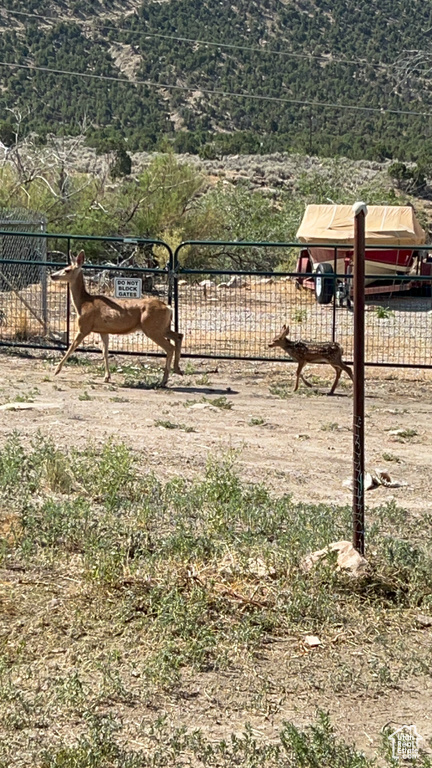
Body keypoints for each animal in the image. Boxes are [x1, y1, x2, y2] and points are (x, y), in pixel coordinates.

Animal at [51, 250, 183, 388]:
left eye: (67, 270)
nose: (52, 275)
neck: (83, 303)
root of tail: (168, 307)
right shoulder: (103, 330)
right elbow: (105, 352)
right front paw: (107, 377)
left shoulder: (84, 327)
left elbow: (71, 347)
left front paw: (56, 370)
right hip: (161, 327)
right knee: (179, 336)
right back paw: (178, 370)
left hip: (152, 328)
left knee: (170, 347)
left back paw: (164, 380)